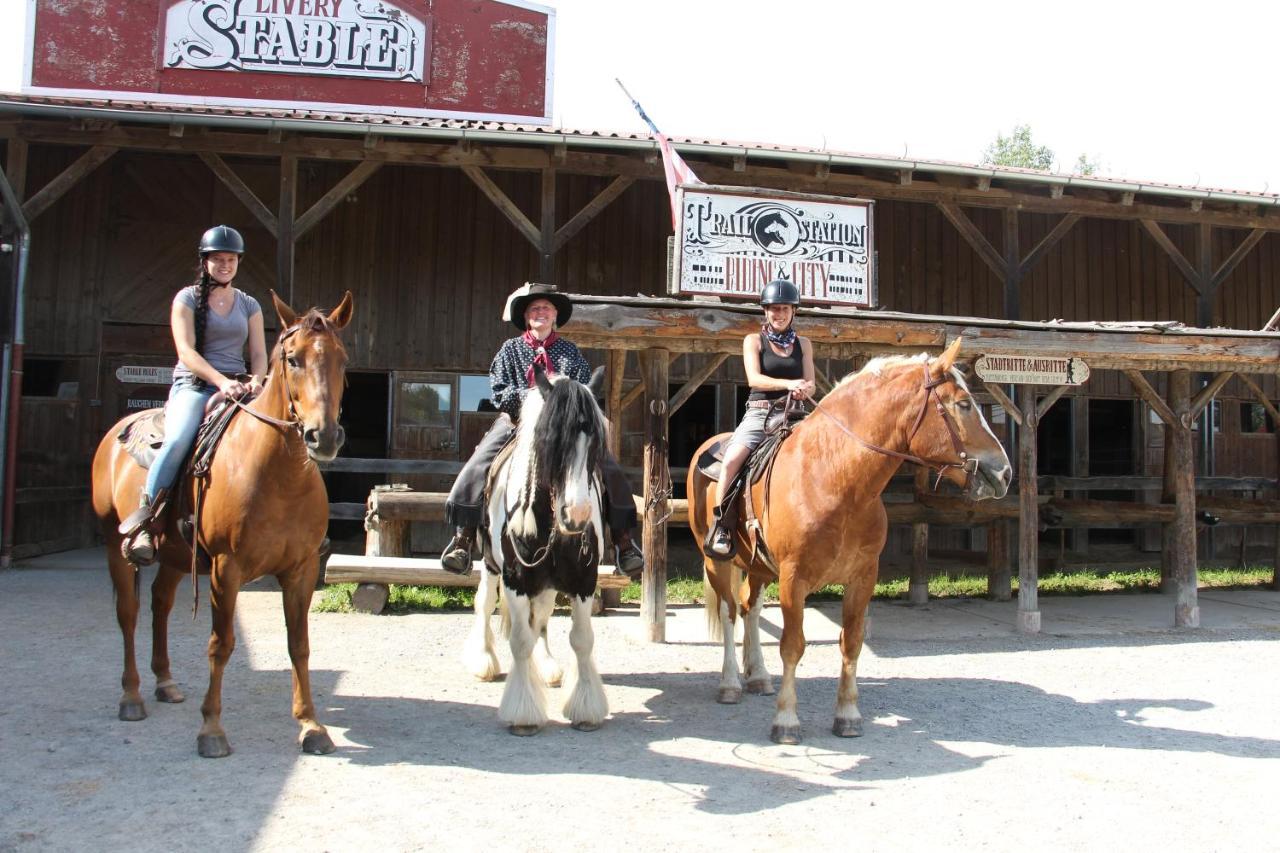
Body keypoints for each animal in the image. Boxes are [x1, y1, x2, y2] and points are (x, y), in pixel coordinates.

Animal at [90, 292, 353, 758]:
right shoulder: (225, 570)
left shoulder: (301, 570)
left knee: (160, 604)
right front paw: (211, 729)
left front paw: (311, 725)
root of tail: (116, 433)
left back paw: (165, 683)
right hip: (114, 545)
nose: (323, 437)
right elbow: (221, 644)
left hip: (177, 557)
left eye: (342, 361)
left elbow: (299, 645)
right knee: (129, 613)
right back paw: (132, 696)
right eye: (292, 359)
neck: (278, 477)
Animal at [465, 363, 609, 732]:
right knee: (484, 604)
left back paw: (546, 667)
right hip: (490, 565)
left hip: (546, 583)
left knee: (540, 618)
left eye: (596, 442)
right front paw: (523, 714)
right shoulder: (515, 580)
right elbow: (518, 641)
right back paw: (484, 661)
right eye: (550, 441)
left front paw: (586, 709)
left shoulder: (584, 581)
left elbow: (582, 639)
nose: (578, 514)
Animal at [691, 335, 1008, 742]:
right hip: (717, 561)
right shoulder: (794, 579)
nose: (1004, 472)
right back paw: (730, 683)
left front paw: (847, 714)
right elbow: (792, 646)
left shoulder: (862, 577)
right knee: (730, 613)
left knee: (751, 608)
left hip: (759, 567)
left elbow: (852, 642)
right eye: (964, 404)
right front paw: (786, 720)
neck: (835, 478)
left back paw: (757, 675)